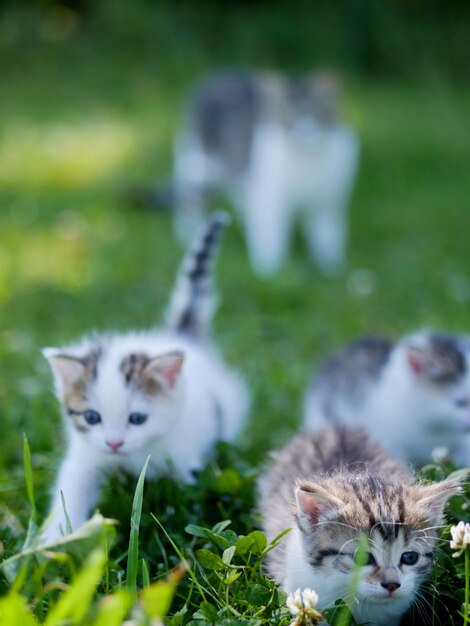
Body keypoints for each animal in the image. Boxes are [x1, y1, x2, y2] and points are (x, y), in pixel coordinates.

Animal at [41, 212, 250, 540]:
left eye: (137, 419)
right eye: (91, 417)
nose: (114, 444)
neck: (131, 458)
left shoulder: (183, 459)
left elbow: (186, 497)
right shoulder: (85, 456)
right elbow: (71, 485)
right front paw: (53, 537)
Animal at [171, 70, 358, 276]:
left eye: (316, 115)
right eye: (287, 117)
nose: (303, 133)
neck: (305, 159)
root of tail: (217, 76)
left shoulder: (327, 204)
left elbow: (328, 241)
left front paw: (331, 271)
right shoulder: (270, 200)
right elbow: (272, 238)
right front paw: (271, 271)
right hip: (199, 165)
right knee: (190, 198)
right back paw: (188, 231)